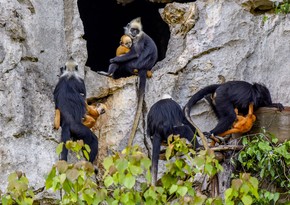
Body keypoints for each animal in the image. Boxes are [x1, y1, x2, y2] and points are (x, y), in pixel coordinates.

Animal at [105, 17, 157, 146]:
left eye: (136, 31)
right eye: (133, 29)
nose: (133, 33)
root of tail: (145, 68)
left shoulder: (138, 39)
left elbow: (135, 53)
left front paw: (113, 59)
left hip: (134, 64)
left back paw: (109, 73)